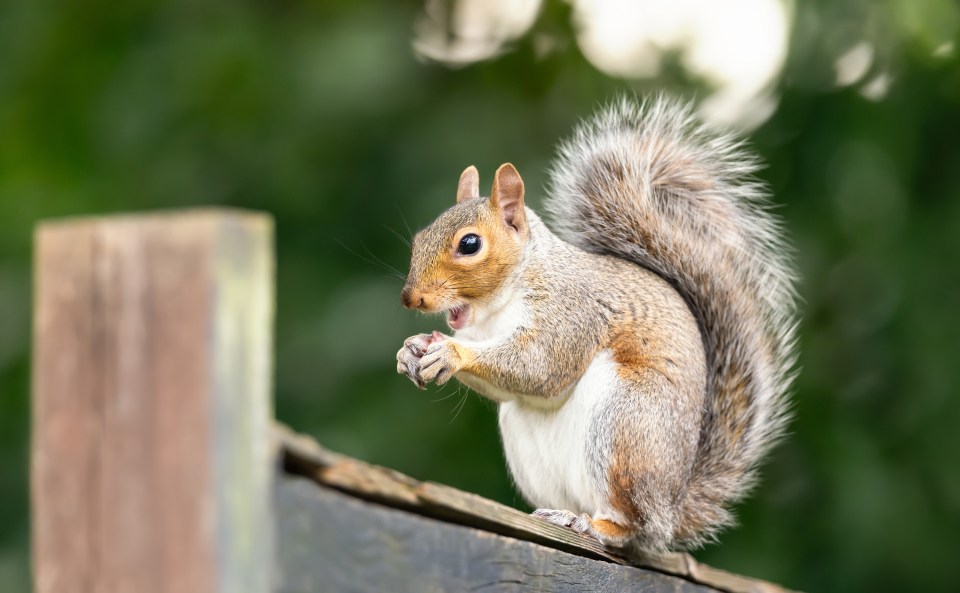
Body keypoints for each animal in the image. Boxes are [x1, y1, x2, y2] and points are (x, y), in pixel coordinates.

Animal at [394, 95, 800, 552]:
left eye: (469, 244)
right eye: (420, 238)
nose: (410, 297)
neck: (499, 306)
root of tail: (673, 505)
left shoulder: (574, 311)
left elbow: (541, 366)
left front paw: (450, 352)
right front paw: (411, 349)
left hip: (626, 424)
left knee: (635, 525)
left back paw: (599, 526)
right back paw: (564, 516)